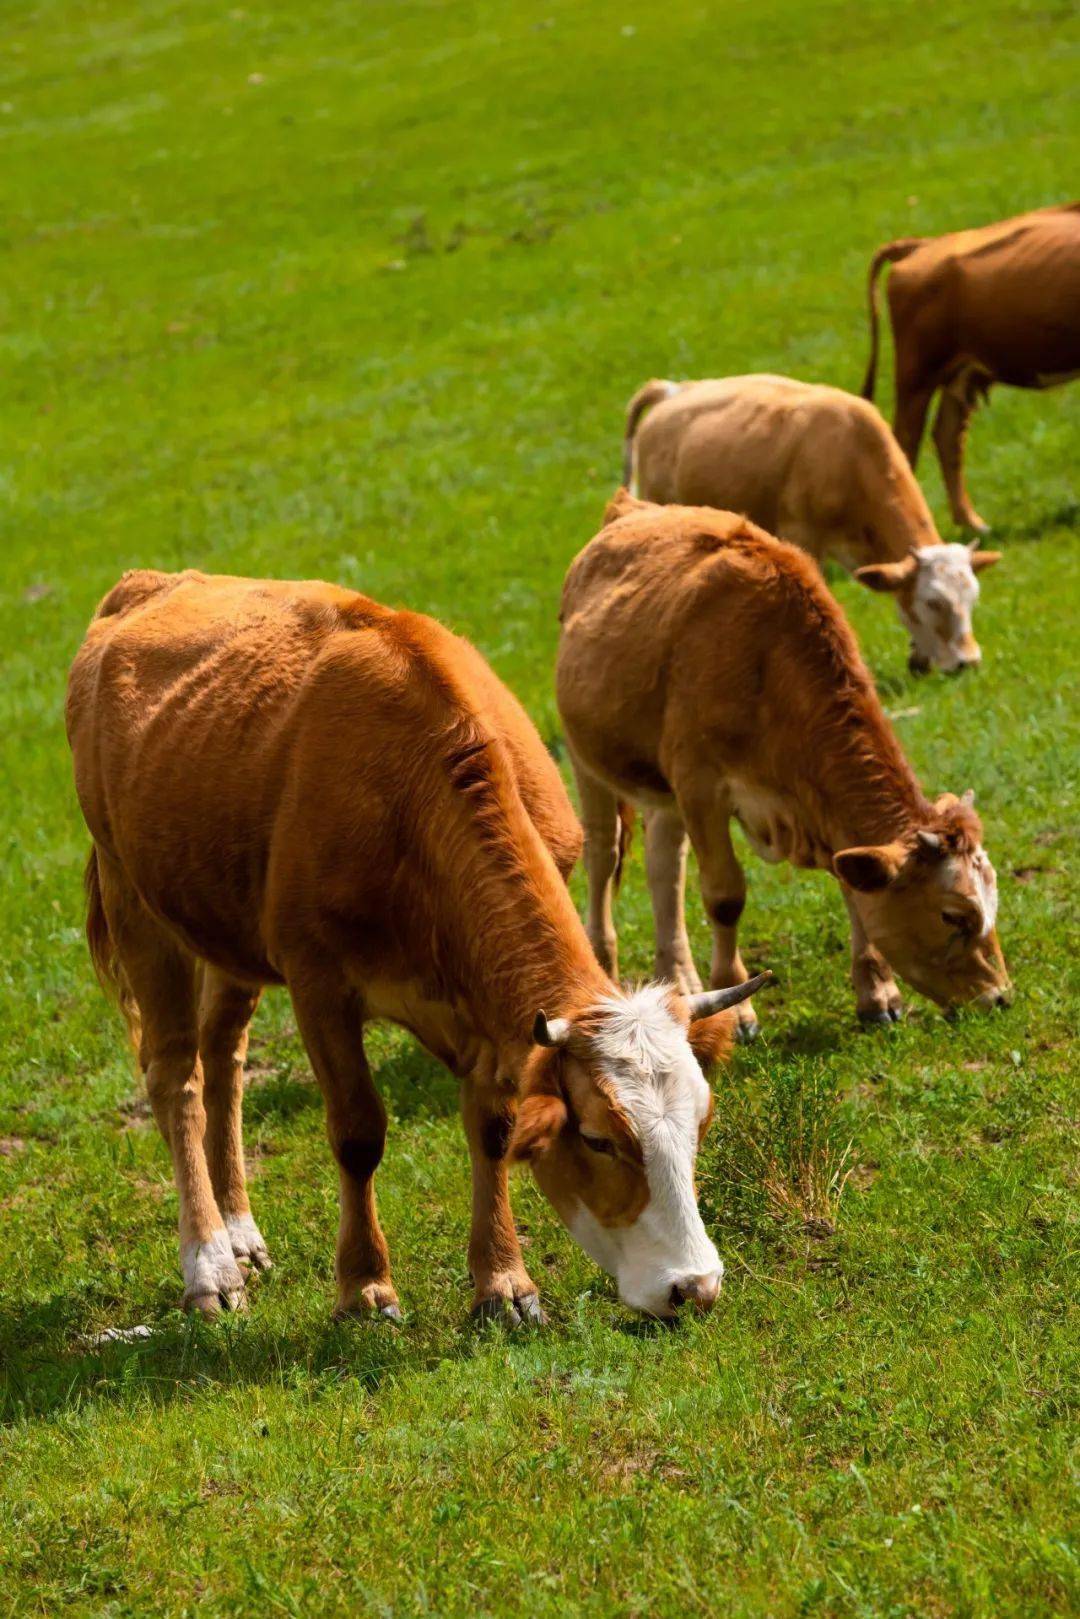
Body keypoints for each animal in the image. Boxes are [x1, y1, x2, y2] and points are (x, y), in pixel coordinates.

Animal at [67, 573, 764, 1327]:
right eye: (602, 1138)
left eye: (699, 1122)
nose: (694, 1285)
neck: (413, 807)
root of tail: (149, 584)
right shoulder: (318, 982)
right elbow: (357, 1132)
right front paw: (366, 1287)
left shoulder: (489, 1012)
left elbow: (493, 1127)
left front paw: (503, 1282)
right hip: (135, 902)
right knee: (178, 1077)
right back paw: (210, 1263)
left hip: (224, 930)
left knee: (224, 1058)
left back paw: (241, 1231)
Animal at [861, 199, 1080, 531]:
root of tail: (922, 245)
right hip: (916, 373)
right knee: (905, 443)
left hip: (961, 372)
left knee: (947, 435)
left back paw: (973, 523)